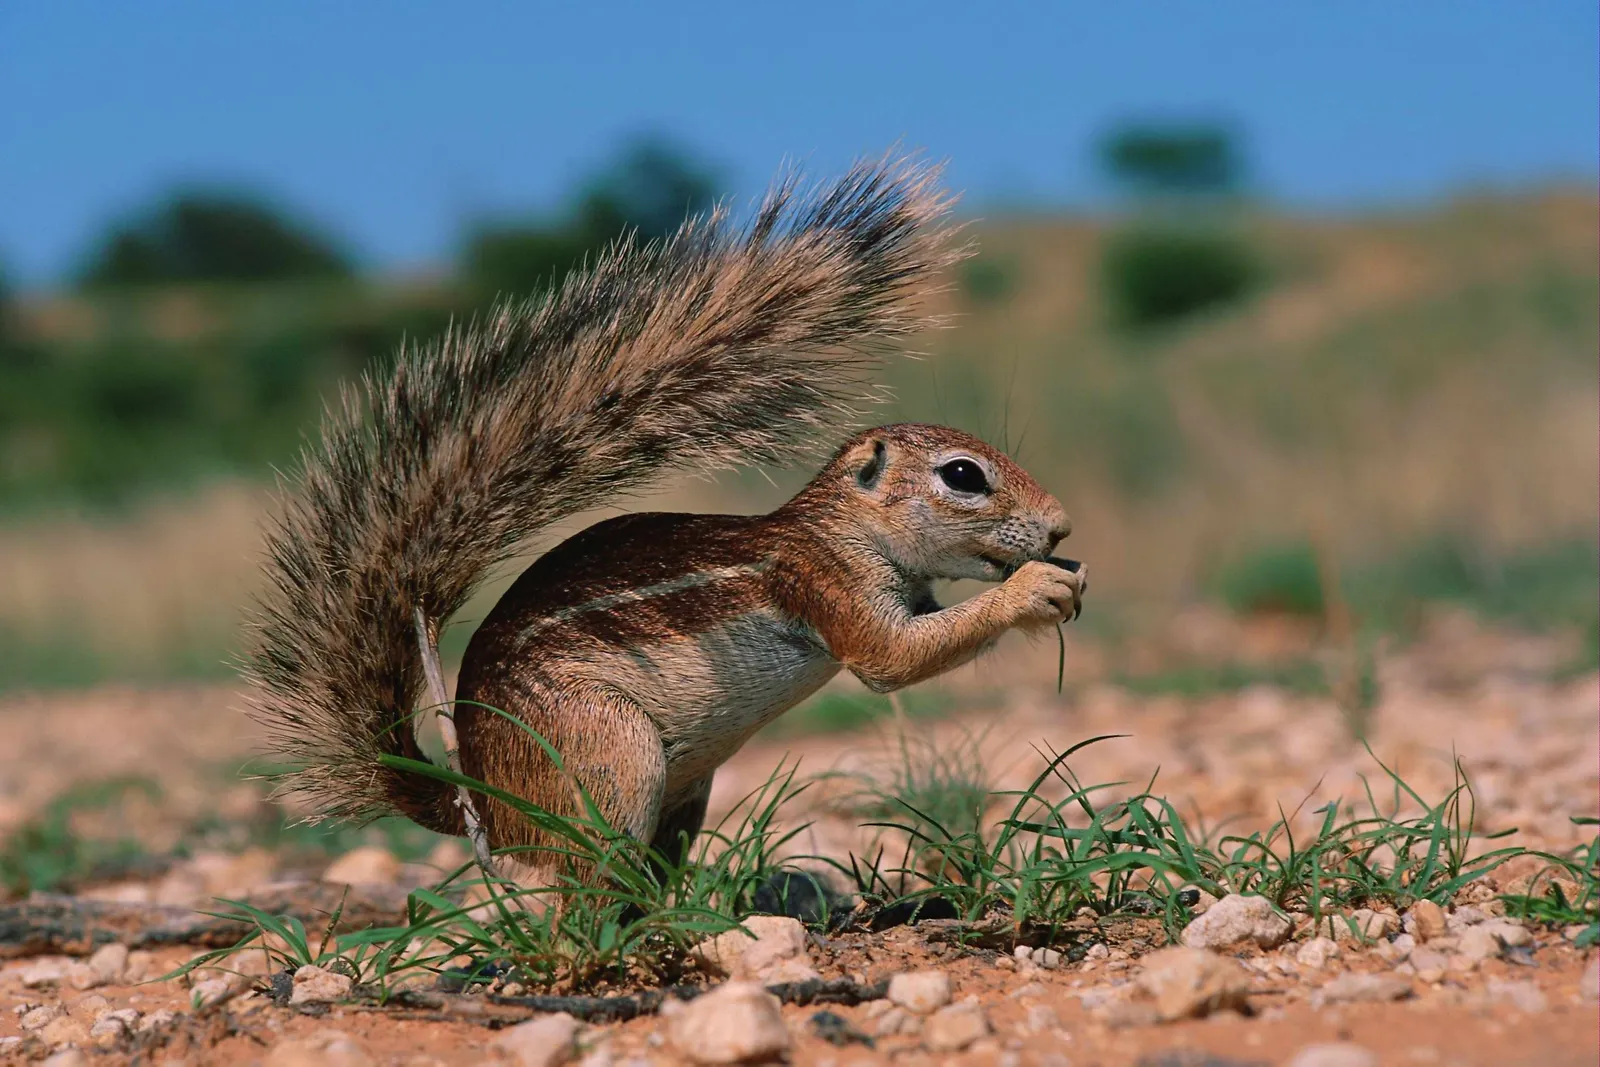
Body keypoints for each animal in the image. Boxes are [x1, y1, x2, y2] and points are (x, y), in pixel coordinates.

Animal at [247, 152, 1086, 886]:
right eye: (963, 475)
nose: (1060, 528)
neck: (838, 530)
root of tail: (484, 801)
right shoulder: (821, 582)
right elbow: (893, 660)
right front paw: (1036, 590)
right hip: (608, 752)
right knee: (584, 887)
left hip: (685, 791)